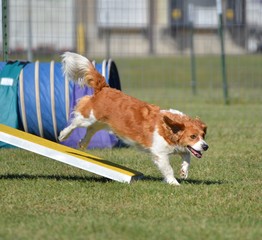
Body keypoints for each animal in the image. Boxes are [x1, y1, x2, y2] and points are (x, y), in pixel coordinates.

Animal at [58, 53, 208, 186]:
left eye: (203, 135)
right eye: (193, 136)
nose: (206, 146)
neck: (168, 127)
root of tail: (104, 88)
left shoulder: (181, 148)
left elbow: (188, 156)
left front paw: (183, 172)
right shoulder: (160, 154)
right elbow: (168, 169)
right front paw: (174, 183)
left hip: (102, 122)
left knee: (91, 129)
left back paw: (83, 143)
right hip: (89, 117)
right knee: (75, 122)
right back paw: (63, 135)